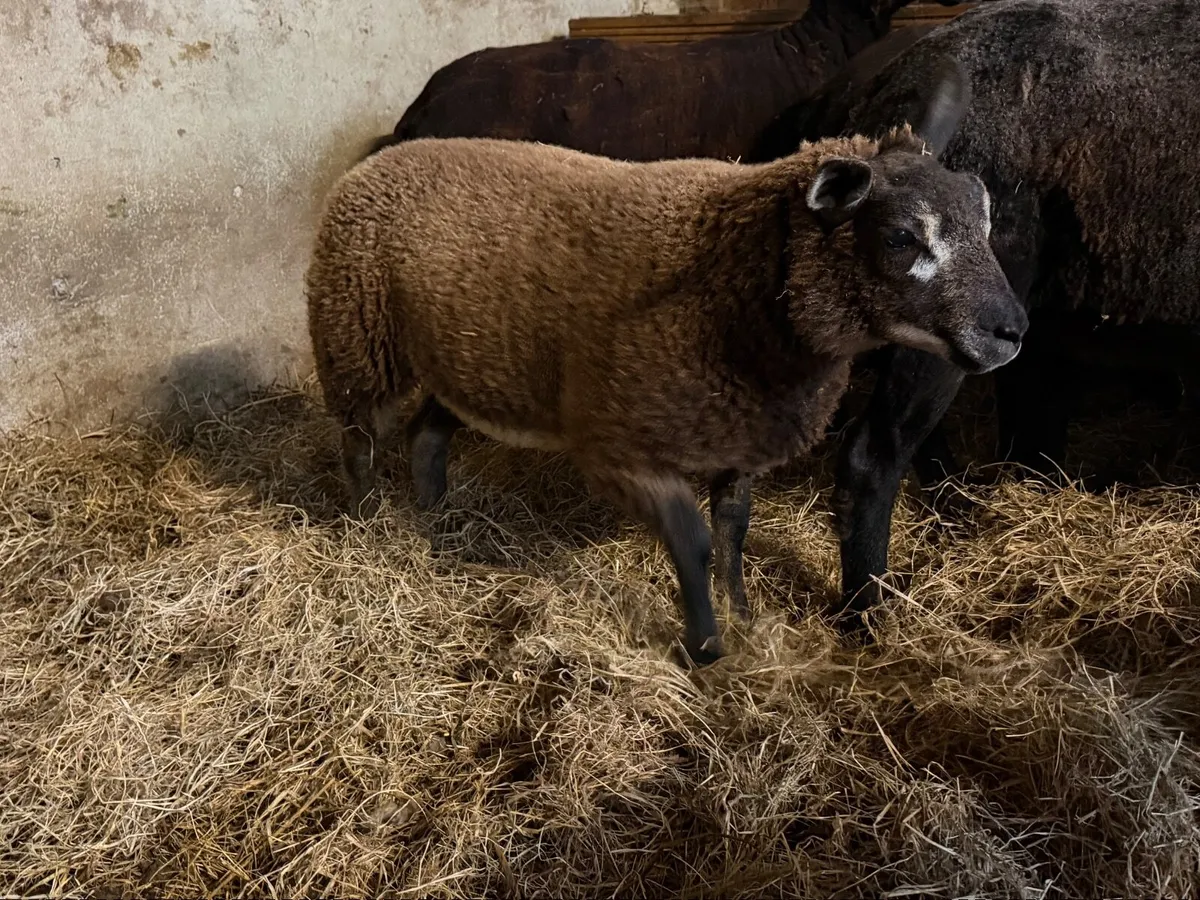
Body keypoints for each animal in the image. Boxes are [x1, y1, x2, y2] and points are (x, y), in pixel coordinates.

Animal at [305, 60, 1026, 666]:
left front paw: (743, 614)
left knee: (426, 436)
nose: (1013, 331)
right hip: (355, 337)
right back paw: (369, 528)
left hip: (465, 361)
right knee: (359, 442)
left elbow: (733, 533)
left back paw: (438, 527)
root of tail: (383, 156)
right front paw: (705, 647)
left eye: (988, 222)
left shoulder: (741, 439)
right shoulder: (623, 448)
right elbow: (694, 540)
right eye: (901, 237)